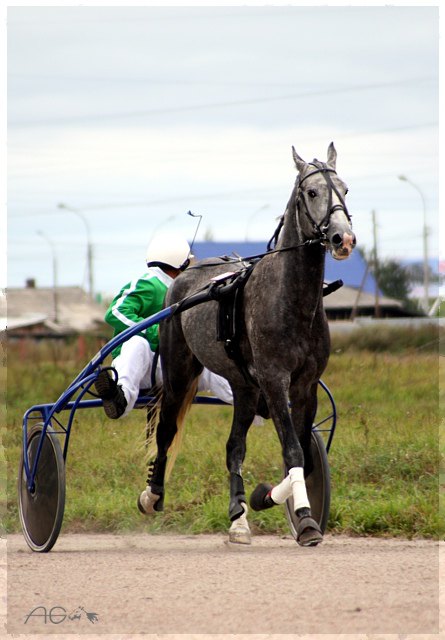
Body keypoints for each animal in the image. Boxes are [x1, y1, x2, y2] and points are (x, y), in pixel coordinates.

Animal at [139, 144, 354, 544]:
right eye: (311, 192)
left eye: (345, 189)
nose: (343, 238)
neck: (292, 300)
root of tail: (186, 275)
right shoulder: (274, 380)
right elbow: (294, 451)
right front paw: (304, 519)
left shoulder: (304, 386)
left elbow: (303, 455)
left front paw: (264, 497)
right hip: (178, 370)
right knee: (166, 431)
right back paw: (152, 494)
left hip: (243, 387)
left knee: (234, 447)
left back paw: (238, 515)